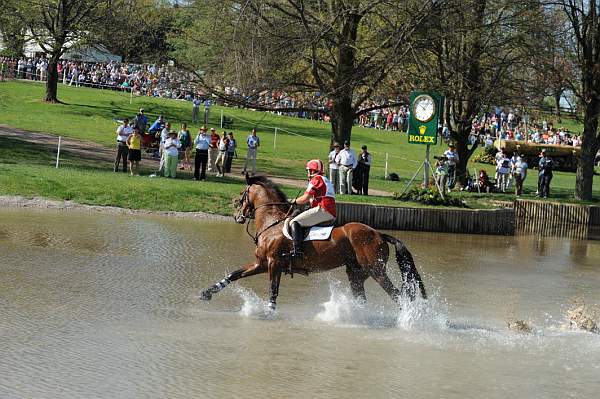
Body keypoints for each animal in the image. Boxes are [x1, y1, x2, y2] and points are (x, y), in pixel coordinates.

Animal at [202, 173, 426, 310]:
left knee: (397, 295)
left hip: (375, 270)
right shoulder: (262, 264)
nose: (237, 216)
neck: (271, 222)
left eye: (242, 195)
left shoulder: (274, 264)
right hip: (356, 272)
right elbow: (234, 274)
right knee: (362, 297)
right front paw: (206, 293)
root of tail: (379, 233)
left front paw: (268, 313)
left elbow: (273, 291)